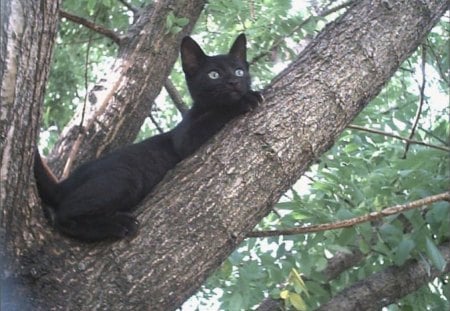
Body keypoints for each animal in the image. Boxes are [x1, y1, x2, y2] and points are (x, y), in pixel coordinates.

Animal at [35, 34, 262, 244]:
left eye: (239, 71)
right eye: (214, 74)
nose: (234, 82)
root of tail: (64, 184)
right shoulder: (185, 138)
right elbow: (217, 114)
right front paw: (245, 100)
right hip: (126, 177)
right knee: (64, 215)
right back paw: (117, 225)